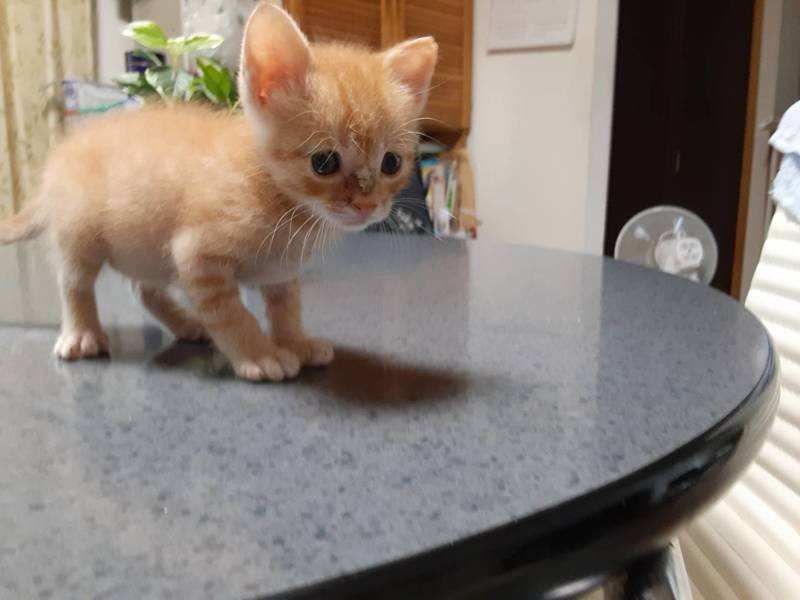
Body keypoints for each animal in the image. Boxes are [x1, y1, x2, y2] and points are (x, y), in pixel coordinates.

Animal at [0, 3, 437, 381]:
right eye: (324, 162)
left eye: (391, 163)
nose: (367, 205)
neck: (285, 205)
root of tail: (63, 150)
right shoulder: (196, 255)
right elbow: (231, 315)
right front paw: (260, 354)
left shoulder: (280, 270)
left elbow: (287, 307)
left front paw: (295, 341)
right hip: (80, 235)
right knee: (74, 282)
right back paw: (82, 333)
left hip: (145, 247)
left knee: (144, 289)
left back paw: (183, 322)